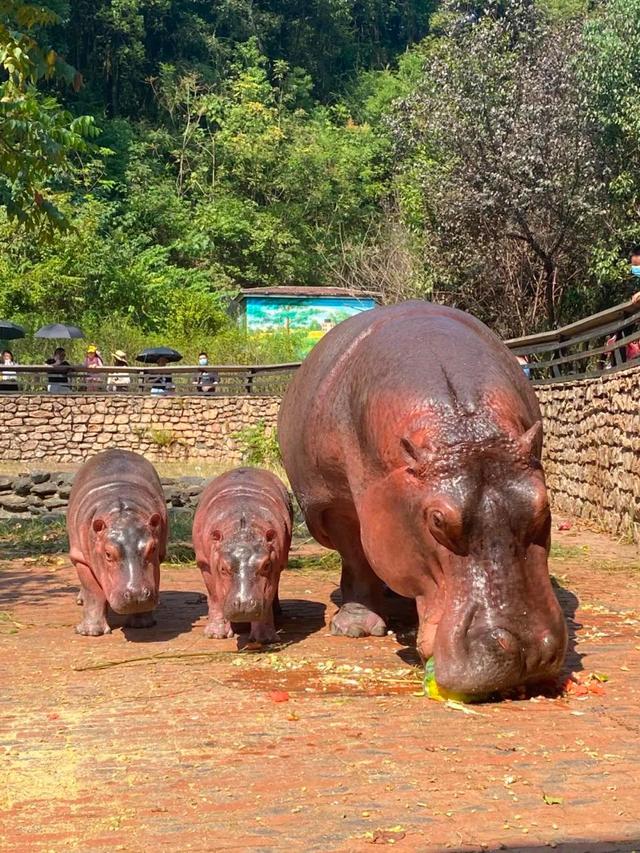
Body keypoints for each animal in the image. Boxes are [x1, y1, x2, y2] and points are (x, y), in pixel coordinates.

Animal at [67, 450, 168, 636]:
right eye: (108, 553)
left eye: (153, 548)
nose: (136, 595)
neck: (122, 512)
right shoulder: (80, 558)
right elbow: (93, 591)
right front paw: (91, 632)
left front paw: (142, 624)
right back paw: (80, 600)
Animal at [194, 470, 294, 644]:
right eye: (223, 568)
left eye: (266, 565)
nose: (244, 605)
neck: (242, 530)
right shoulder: (205, 564)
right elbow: (215, 596)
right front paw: (215, 635)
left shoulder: (276, 564)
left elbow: (267, 596)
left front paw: (265, 639)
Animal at [278, 302, 568, 696]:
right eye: (437, 520)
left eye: (543, 507)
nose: (528, 652)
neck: (462, 427)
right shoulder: (337, 507)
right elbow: (356, 558)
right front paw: (354, 628)